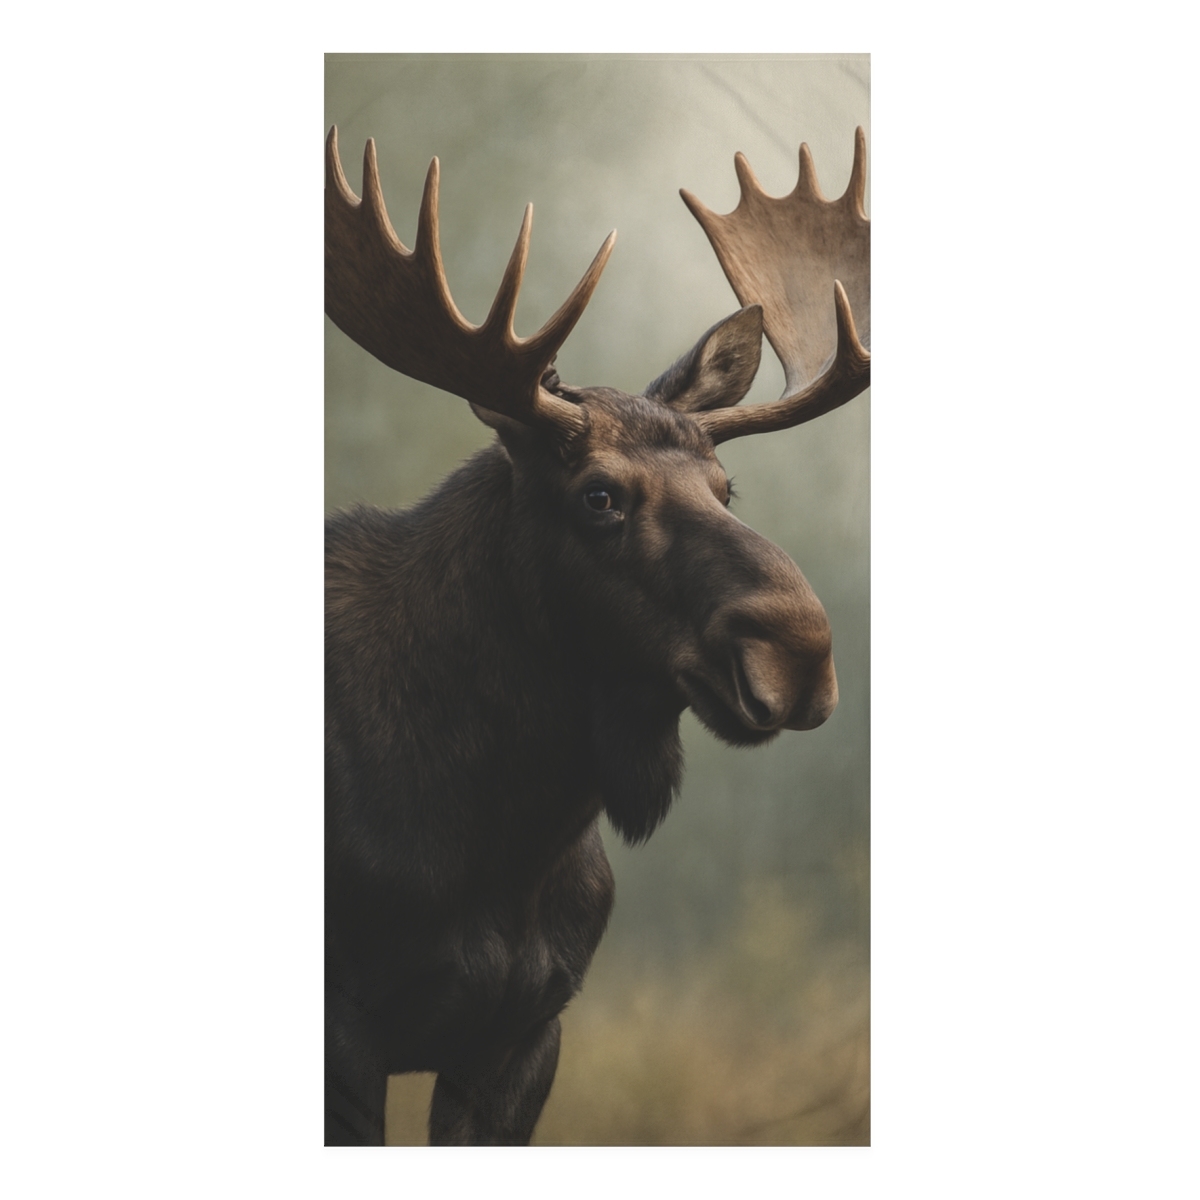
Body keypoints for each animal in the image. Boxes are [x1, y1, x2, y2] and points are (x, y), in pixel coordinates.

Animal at [324, 125, 870, 1146]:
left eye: (729, 488)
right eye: (600, 496)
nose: (801, 653)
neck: (506, 841)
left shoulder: (525, 1034)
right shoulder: (346, 1025)